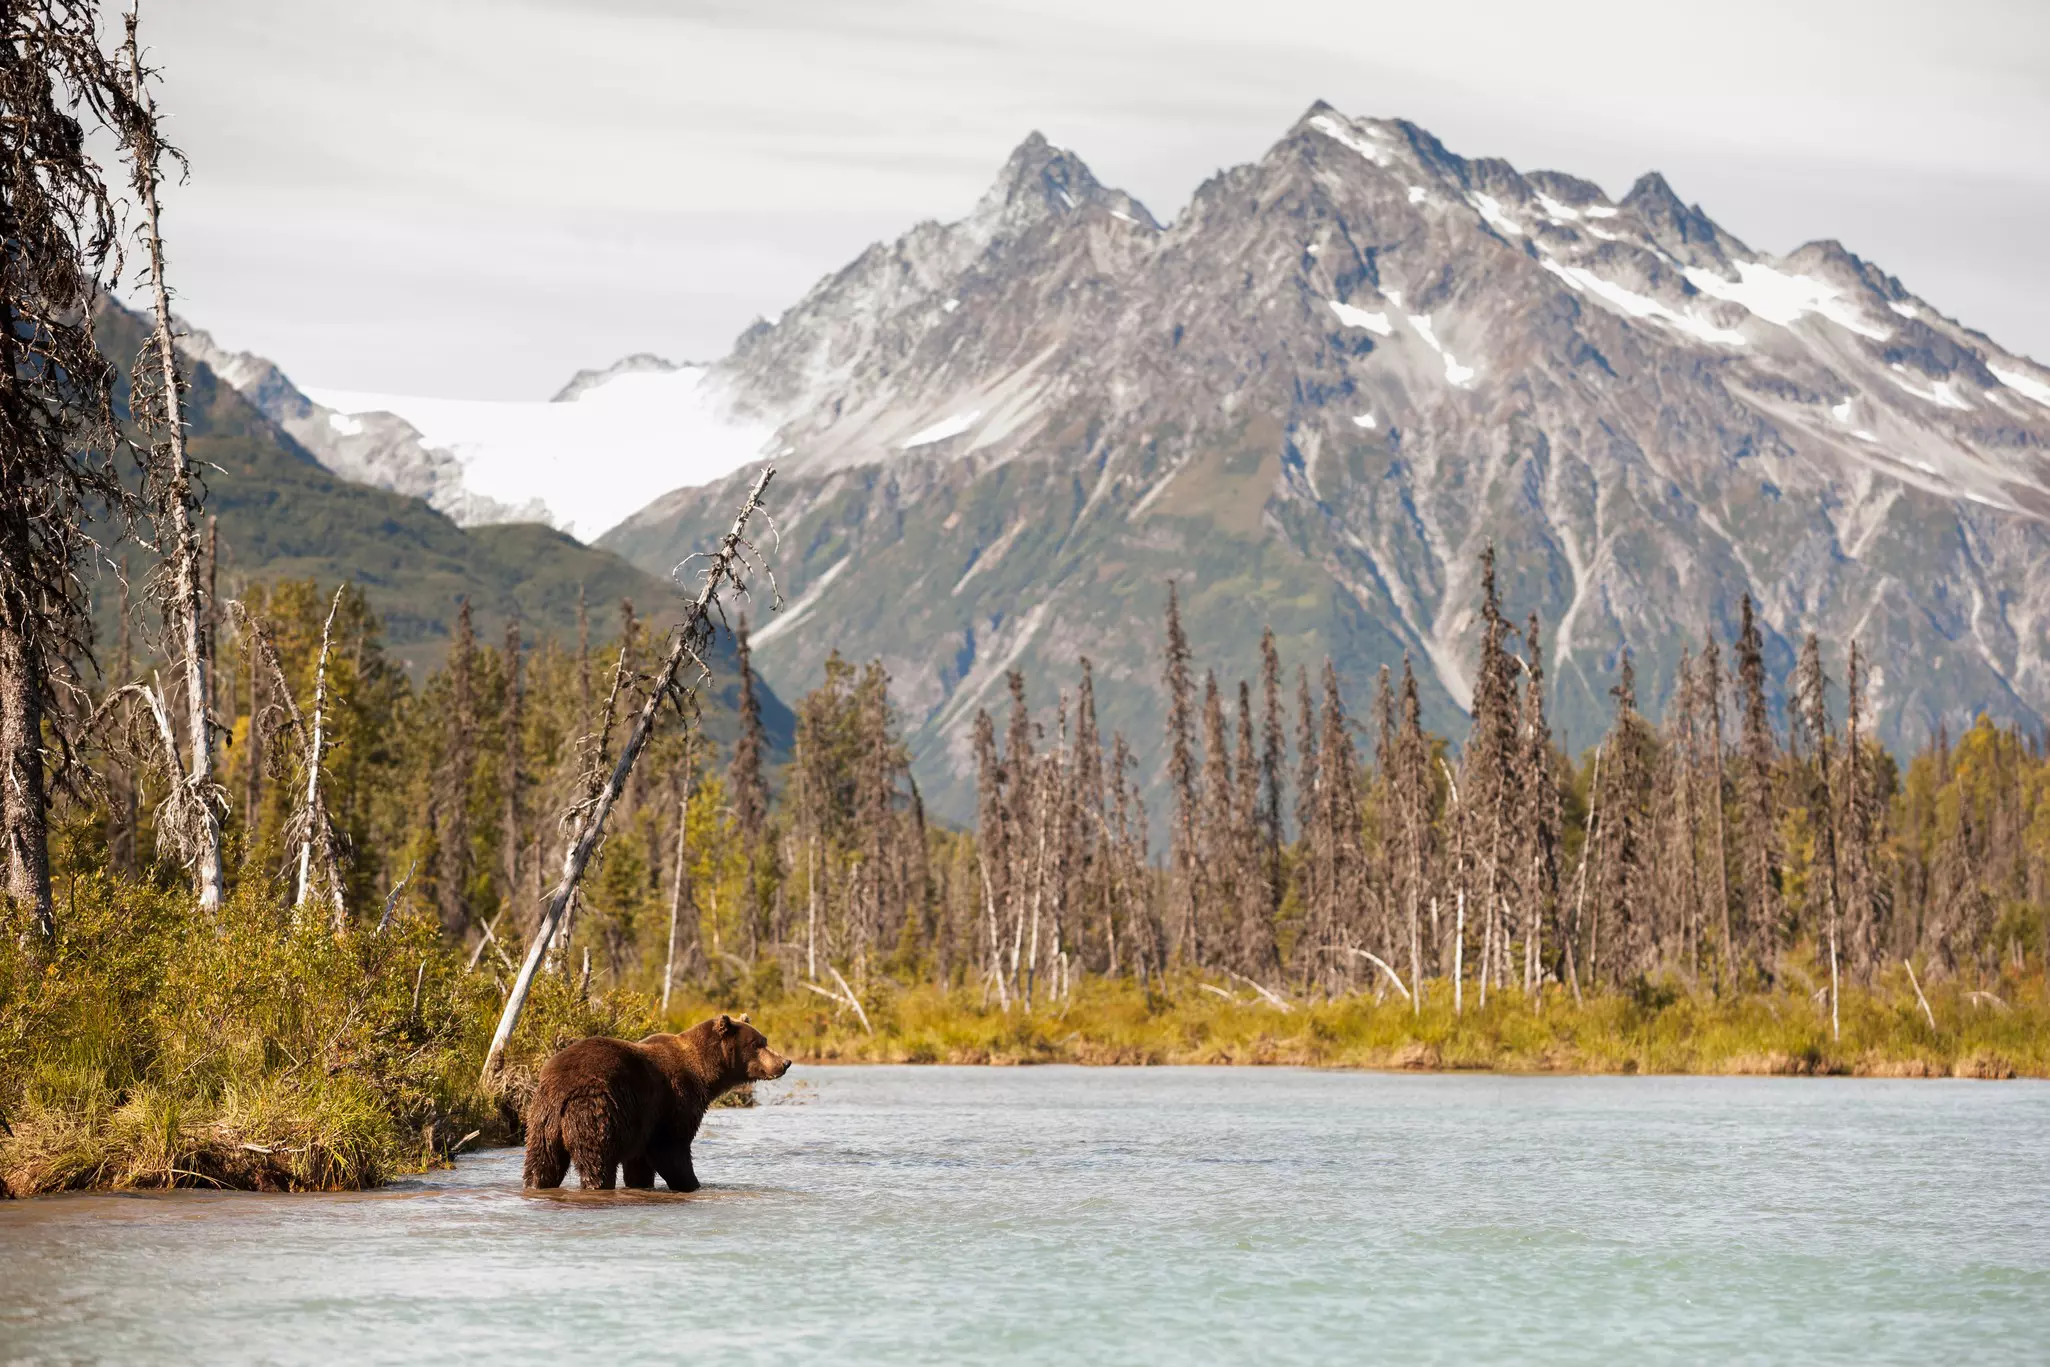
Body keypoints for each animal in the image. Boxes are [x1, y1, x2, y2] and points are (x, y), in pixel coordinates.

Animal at [522, 1013, 790, 1191]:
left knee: (543, 1162)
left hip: (542, 1119)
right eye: (757, 1043)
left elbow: (639, 1163)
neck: (704, 1072)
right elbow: (671, 1148)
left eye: (764, 1040)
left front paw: (641, 1183)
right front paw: (691, 1183)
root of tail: (561, 1088)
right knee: (596, 1160)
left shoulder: (640, 1122)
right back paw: (597, 1185)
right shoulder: (674, 1101)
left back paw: (536, 1184)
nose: (785, 1062)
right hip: (595, 1109)